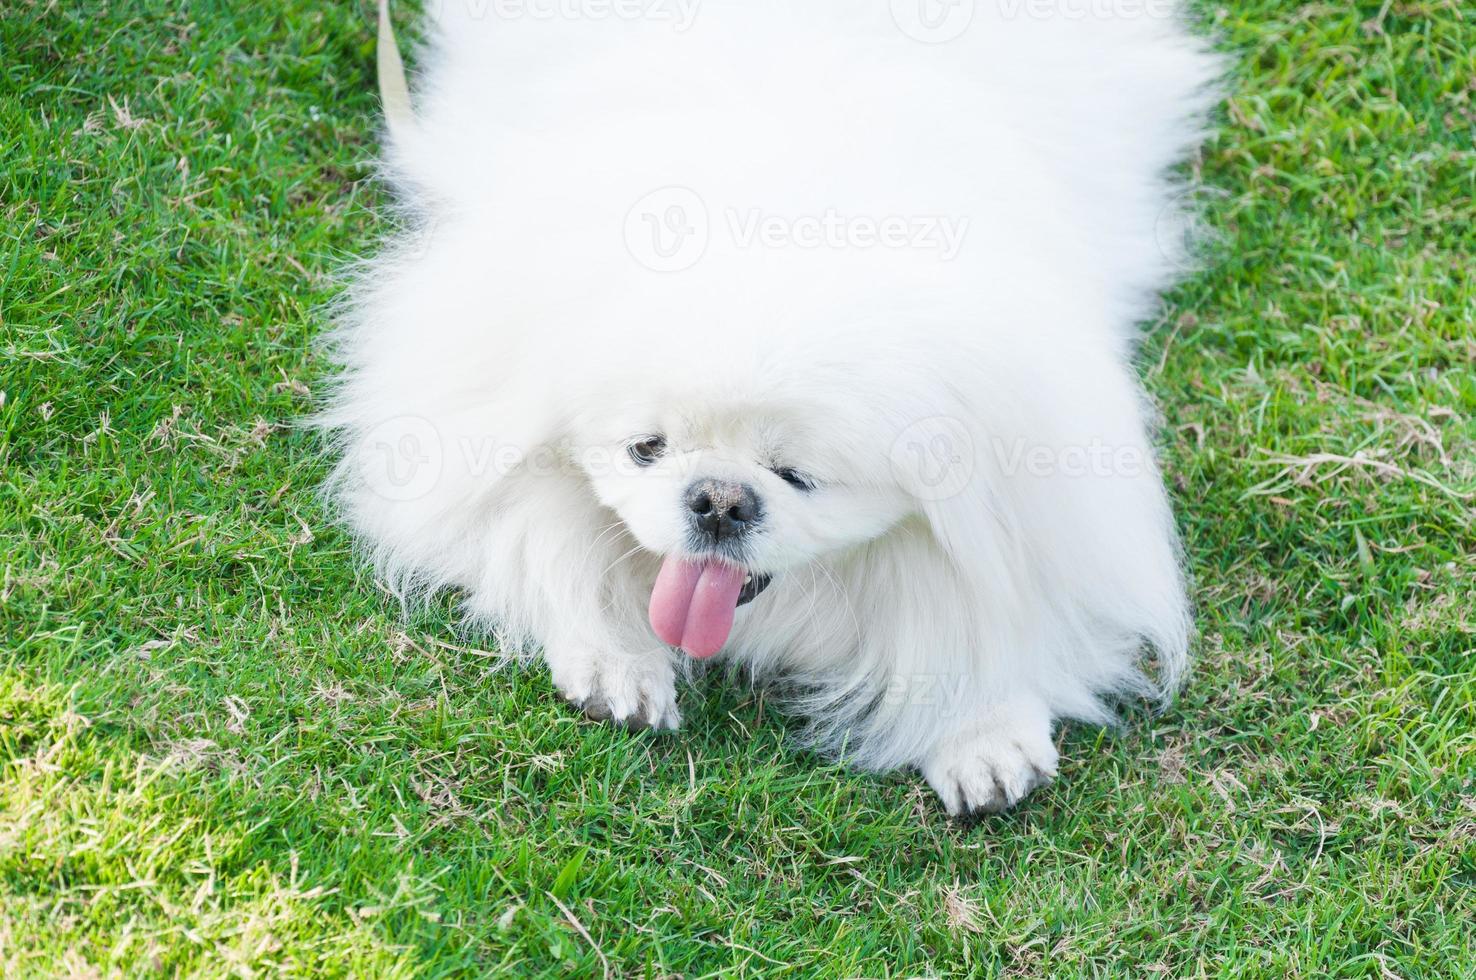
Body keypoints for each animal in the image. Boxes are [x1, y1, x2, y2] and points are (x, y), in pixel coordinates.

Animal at [323, 0, 1222, 808]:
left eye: (798, 476)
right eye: (646, 449)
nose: (720, 500)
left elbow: (991, 615)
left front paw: (983, 731)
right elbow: (546, 547)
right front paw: (617, 663)